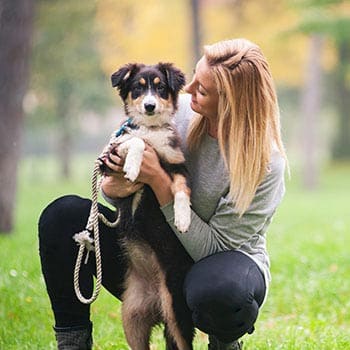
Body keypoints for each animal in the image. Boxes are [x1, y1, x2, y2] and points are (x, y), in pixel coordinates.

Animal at [98, 61, 196, 348]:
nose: (149, 106)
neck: (152, 128)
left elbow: (182, 191)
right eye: (138, 88)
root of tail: (156, 302)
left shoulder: (177, 164)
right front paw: (133, 166)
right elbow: (135, 140)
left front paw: (182, 219)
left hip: (177, 309)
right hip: (131, 319)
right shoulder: (108, 159)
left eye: (161, 88)